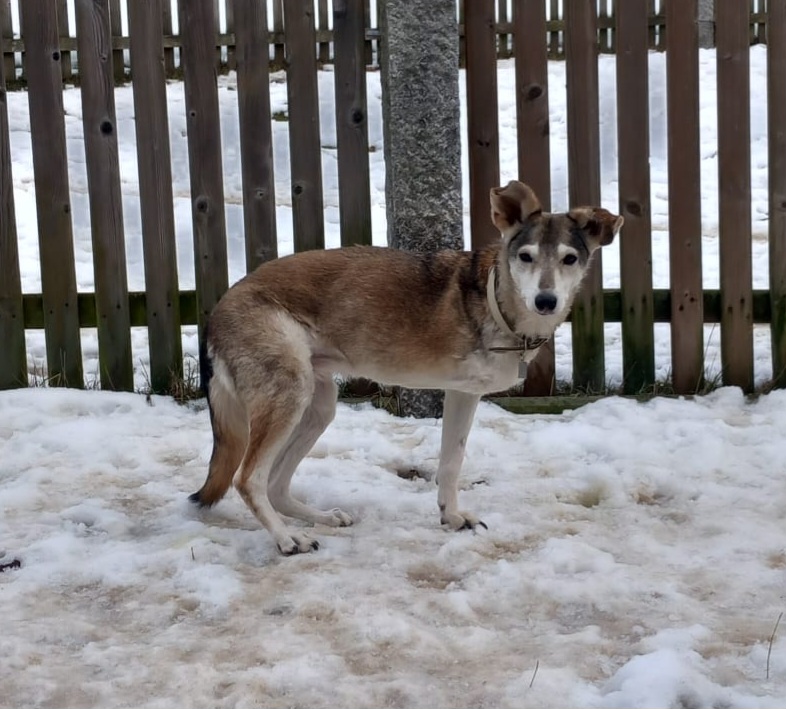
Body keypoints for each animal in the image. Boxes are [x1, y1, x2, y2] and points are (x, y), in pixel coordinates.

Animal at [190, 181, 623, 555]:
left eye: (569, 259)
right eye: (526, 257)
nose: (546, 301)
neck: (495, 301)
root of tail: (219, 305)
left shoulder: (463, 394)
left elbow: (450, 463)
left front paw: (452, 518)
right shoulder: (462, 393)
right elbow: (451, 463)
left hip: (319, 406)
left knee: (277, 485)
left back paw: (320, 519)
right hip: (289, 397)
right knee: (250, 479)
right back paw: (287, 539)